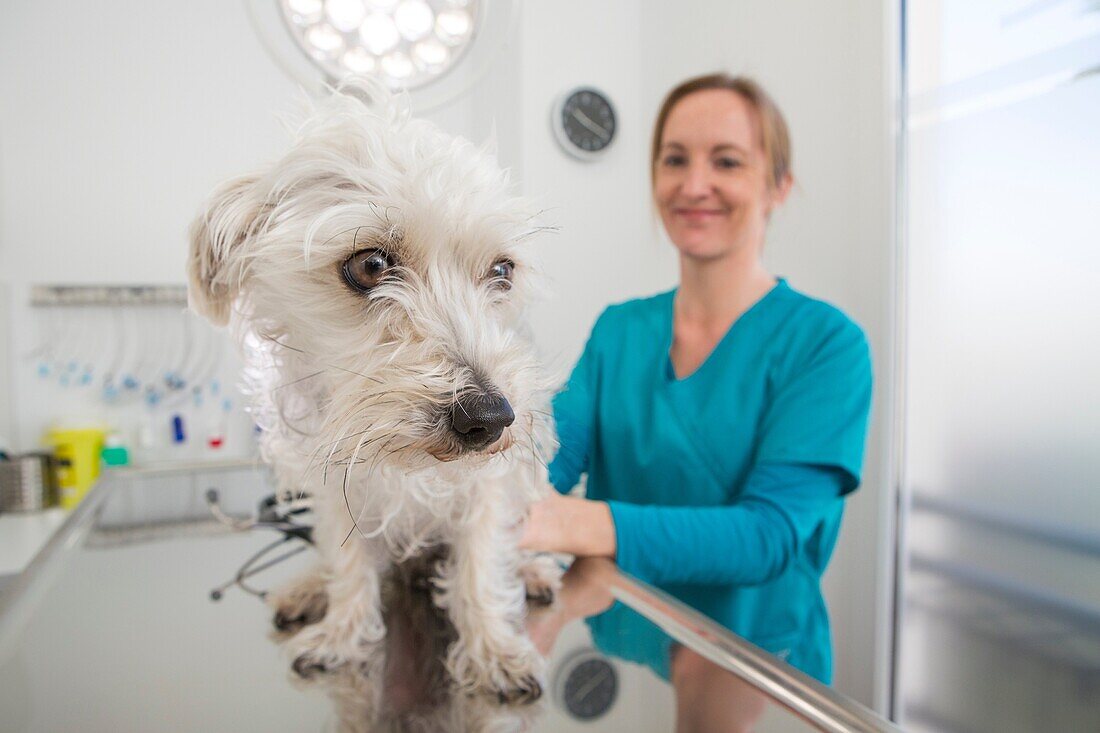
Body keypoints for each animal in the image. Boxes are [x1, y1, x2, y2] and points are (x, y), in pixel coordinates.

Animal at [187, 77, 558, 726]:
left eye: (502, 271)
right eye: (370, 264)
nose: (491, 419)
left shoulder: (487, 488)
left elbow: (481, 564)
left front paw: (492, 651)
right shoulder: (337, 487)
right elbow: (350, 565)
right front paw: (341, 633)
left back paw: (534, 569)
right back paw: (309, 588)